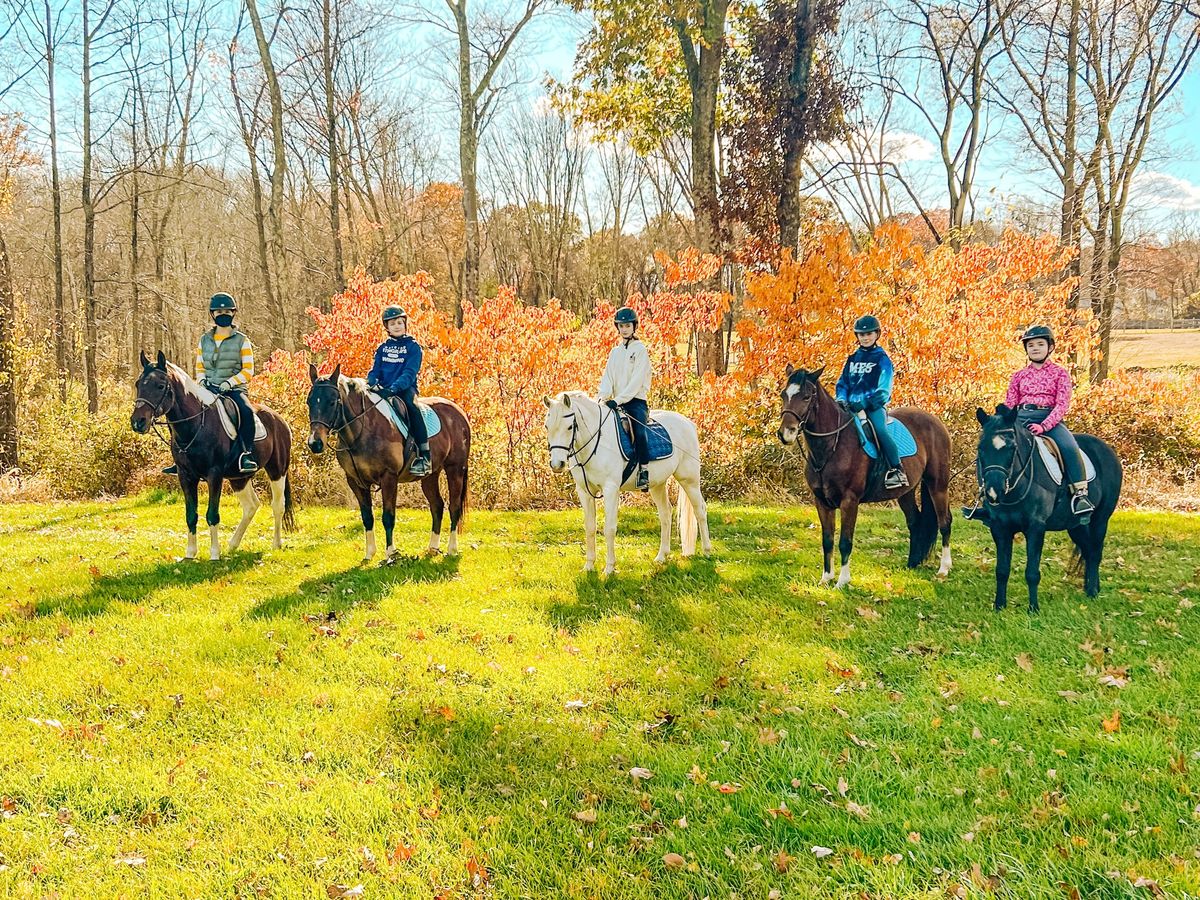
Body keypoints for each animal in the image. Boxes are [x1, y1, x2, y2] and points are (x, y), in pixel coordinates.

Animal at [129, 350, 295, 556]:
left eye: (160, 386)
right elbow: (191, 515)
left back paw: (276, 544)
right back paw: (233, 545)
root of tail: (280, 419)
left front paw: (214, 553)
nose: (138, 422)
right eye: (138, 385)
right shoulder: (185, 476)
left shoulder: (214, 475)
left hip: (277, 470)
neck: (195, 425)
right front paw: (190, 554)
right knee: (251, 506)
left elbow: (212, 515)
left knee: (278, 505)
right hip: (239, 478)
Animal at [302, 367, 470, 564]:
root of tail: (459, 412)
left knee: (454, 507)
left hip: (455, 469)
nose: (315, 443)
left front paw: (391, 554)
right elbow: (367, 517)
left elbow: (388, 517)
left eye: (331, 402)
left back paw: (452, 549)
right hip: (430, 476)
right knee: (437, 506)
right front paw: (369, 554)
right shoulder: (356, 482)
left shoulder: (389, 477)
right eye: (309, 401)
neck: (361, 432)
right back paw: (433, 548)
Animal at [540, 388, 705, 573]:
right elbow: (590, 528)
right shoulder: (584, 492)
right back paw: (662, 556)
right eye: (547, 426)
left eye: (569, 426)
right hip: (658, 485)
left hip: (689, 480)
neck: (596, 443)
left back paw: (707, 551)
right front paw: (589, 566)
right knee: (666, 513)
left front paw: (609, 568)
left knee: (700, 510)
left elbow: (609, 529)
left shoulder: (611, 490)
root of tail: (687, 423)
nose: (557, 464)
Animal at [777, 362, 955, 588]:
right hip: (905, 492)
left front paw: (842, 581)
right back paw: (912, 564)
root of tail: (935, 422)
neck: (832, 446)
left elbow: (845, 542)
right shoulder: (822, 502)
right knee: (915, 522)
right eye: (784, 395)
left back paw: (944, 569)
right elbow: (827, 540)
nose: (786, 433)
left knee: (944, 521)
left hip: (937, 485)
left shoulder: (849, 501)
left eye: (807, 397)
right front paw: (826, 578)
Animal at [969, 408, 1118, 614]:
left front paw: (1033, 609)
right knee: (1088, 552)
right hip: (1076, 526)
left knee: (1095, 553)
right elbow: (1001, 570)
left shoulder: (1036, 528)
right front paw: (999, 606)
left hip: (1100, 520)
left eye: (1012, 448)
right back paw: (1090, 588)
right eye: (981, 448)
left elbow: (1032, 572)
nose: (993, 491)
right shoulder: (1000, 528)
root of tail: (1108, 451)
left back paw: (1093, 592)